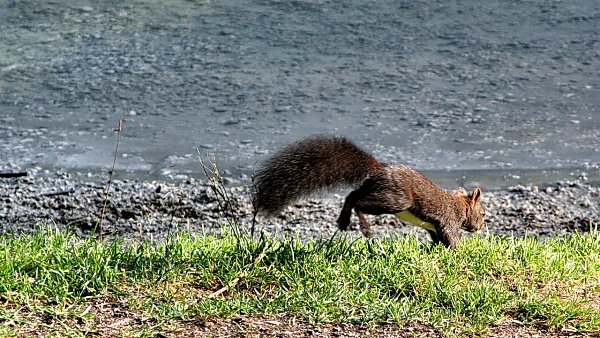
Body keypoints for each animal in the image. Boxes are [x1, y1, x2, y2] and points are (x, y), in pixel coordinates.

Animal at [251, 135, 486, 248]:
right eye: (483, 213)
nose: (481, 226)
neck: (461, 207)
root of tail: (378, 168)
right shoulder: (447, 221)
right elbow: (450, 238)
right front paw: (458, 251)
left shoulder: (432, 227)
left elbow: (437, 239)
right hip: (396, 199)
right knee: (359, 202)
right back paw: (363, 226)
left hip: (377, 189)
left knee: (352, 195)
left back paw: (343, 220)